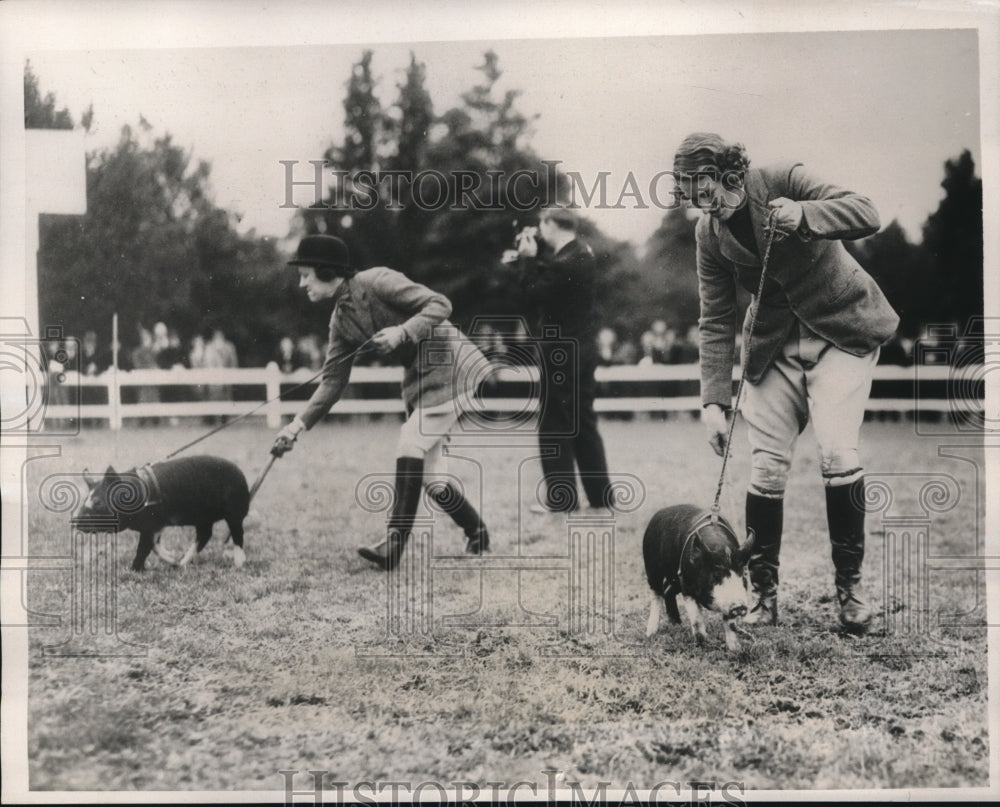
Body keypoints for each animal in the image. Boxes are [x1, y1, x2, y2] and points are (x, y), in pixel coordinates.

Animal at [75, 454, 250, 576]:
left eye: (98, 502)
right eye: (85, 499)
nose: (74, 521)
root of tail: (241, 475)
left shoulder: (151, 525)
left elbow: (144, 547)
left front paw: (134, 570)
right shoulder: (157, 525)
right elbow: (154, 546)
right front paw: (172, 559)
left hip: (234, 511)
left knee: (238, 534)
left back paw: (238, 565)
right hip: (203, 518)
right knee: (204, 535)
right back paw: (181, 564)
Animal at [644, 508, 752, 652]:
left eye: (743, 574)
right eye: (716, 574)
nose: (739, 605)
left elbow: (730, 624)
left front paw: (735, 650)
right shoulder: (687, 586)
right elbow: (696, 620)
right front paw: (705, 644)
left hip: (675, 578)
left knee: (667, 590)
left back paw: (676, 624)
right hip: (652, 566)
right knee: (656, 593)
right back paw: (650, 633)